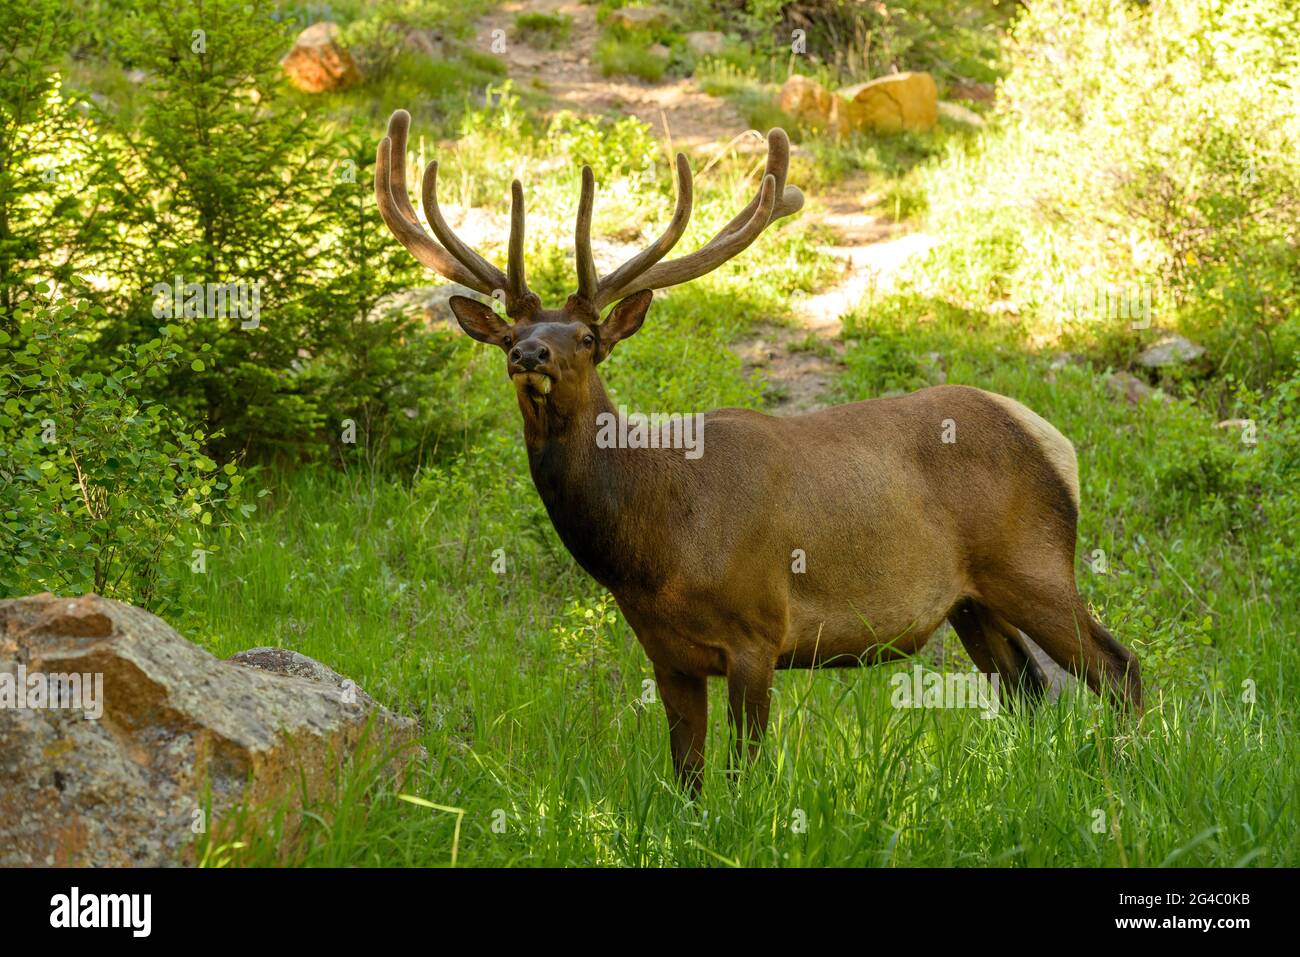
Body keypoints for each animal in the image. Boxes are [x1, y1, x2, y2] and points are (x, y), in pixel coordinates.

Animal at [374, 110, 1138, 790]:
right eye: (509, 336)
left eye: (587, 339)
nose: (529, 355)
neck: (651, 546)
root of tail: (1055, 443)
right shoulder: (667, 655)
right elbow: (686, 781)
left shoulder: (758, 632)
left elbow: (743, 778)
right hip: (972, 600)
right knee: (1029, 690)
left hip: (1033, 562)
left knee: (1118, 668)